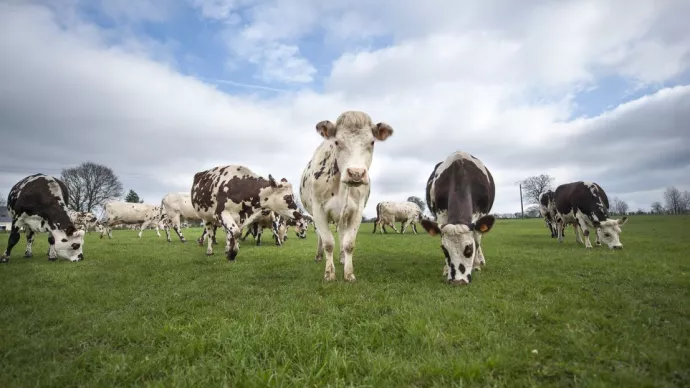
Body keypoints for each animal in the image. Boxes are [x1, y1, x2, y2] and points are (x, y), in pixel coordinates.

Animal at [300, 110, 392, 280]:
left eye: (372, 142)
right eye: (337, 142)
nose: (356, 173)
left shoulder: (357, 211)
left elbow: (348, 243)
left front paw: (349, 273)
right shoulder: (318, 209)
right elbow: (328, 242)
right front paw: (329, 274)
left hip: (343, 216)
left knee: (342, 235)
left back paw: (342, 258)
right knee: (320, 237)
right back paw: (319, 256)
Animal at [420, 152, 494, 284]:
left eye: (469, 249)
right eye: (444, 250)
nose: (457, 281)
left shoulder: (480, 214)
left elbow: (477, 240)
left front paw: (476, 265)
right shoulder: (441, 215)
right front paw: (446, 269)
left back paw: (481, 260)